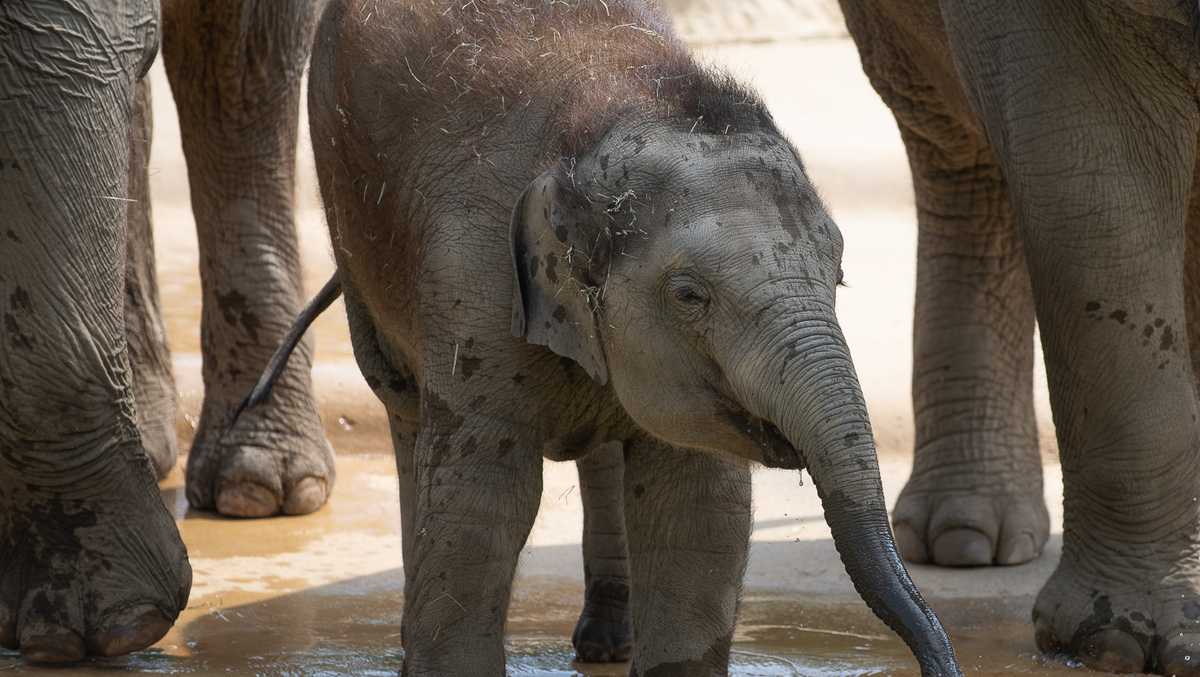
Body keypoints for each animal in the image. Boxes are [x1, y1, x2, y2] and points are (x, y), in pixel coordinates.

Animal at [300, 1, 964, 677]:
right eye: (689, 295)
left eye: (839, 274)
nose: (938, 660)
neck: (616, 107)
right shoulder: (473, 278)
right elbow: (481, 501)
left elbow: (695, 507)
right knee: (408, 416)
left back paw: (606, 646)